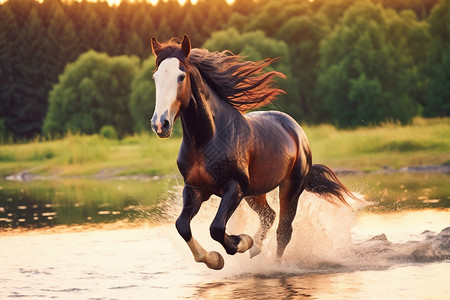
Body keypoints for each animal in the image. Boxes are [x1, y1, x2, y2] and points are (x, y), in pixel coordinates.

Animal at [151, 34, 358, 270]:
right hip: (256, 192)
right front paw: (215, 259)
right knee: (269, 215)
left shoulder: (235, 186)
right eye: (155, 76)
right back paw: (257, 248)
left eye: (181, 76)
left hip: (291, 188)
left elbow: (217, 228)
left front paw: (242, 242)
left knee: (284, 230)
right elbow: (182, 226)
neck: (206, 140)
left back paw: (274, 264)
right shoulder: (195, 188)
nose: (160, 124)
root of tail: (296, 130)